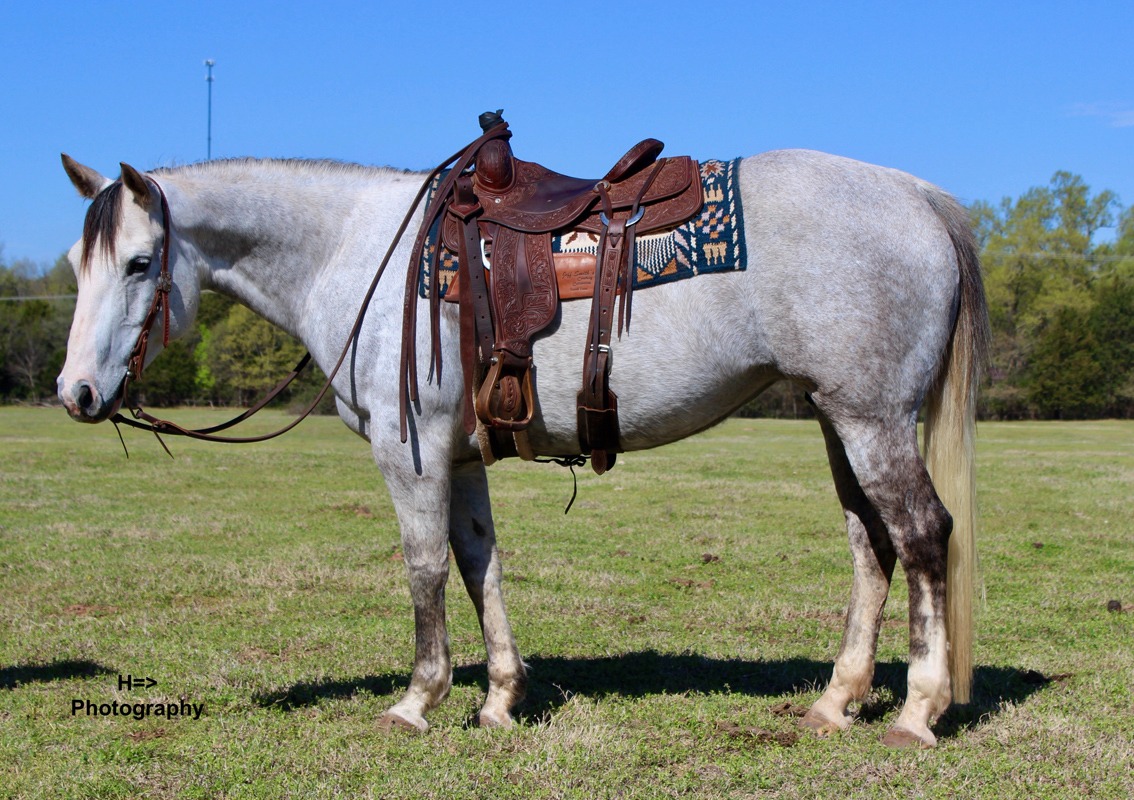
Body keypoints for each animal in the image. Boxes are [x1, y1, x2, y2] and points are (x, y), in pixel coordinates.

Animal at [56, 140, 988, 748]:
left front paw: (417, 700)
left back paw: (917, 712)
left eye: (139, 263)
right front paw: (499, 700)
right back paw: (838, 701)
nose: (77, 393)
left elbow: (425, 570)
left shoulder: (410, 452)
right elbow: (480, 566)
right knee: (872, 546)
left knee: (922, 535)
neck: (360, 254)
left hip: (871, 419)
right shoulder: (460, 457)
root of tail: (919, 196)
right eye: (76, 263)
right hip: (841, 418)